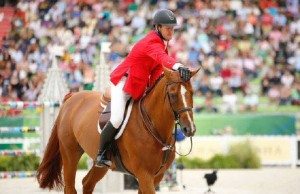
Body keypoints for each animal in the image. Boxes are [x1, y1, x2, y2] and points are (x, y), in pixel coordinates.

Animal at [36, 67, 198, 194]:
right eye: (173, 94)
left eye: (192, 93)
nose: (189, 129)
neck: (152, 127)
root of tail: (73, 97)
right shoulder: (144, 175)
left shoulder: (156, 176)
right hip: (70, 153)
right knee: (70, 187)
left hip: (100, 164)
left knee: (87, 183)